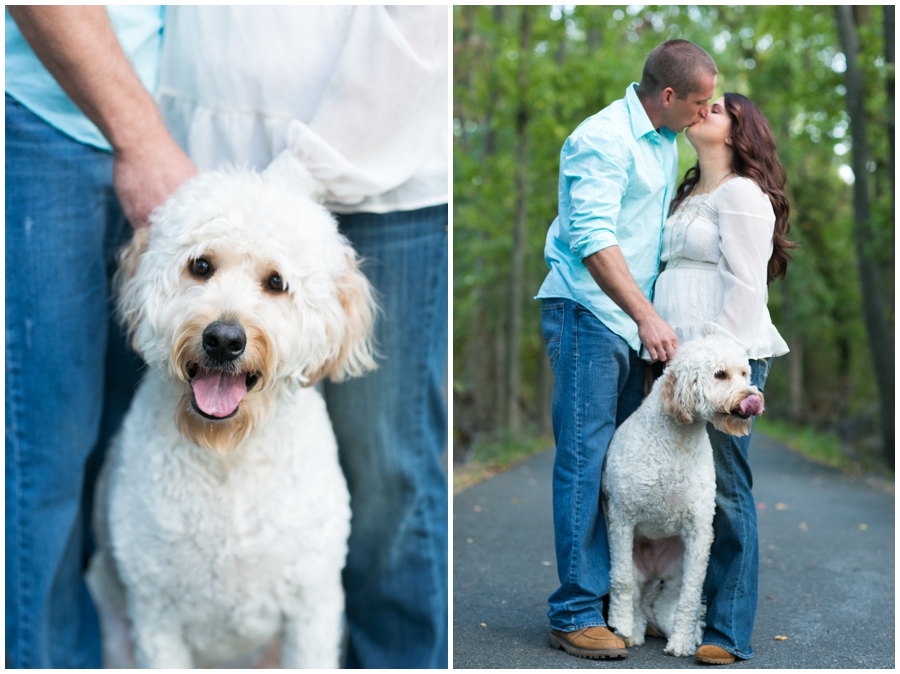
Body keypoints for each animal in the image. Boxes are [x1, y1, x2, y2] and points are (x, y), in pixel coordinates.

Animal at [84, 154, 376, 668]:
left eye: (276, 282)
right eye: (201, 266)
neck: (229, 455)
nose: (223, 339)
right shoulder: (156, 618)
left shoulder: (313, 609)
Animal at [600, 336, 764, 656]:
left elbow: (690, 594)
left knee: (664, 602)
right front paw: (622, 625)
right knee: (633, 591)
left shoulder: (699, 532)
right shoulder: (622, 519)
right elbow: (622, 581)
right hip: (633, 560)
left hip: (675, 568)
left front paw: (682, 642)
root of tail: (653, 570)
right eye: (720, 374)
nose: (754, 398)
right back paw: (632, 630)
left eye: (744, 374)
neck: (677, 441)